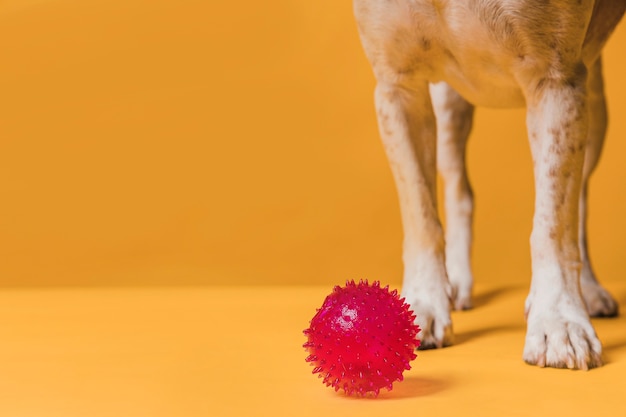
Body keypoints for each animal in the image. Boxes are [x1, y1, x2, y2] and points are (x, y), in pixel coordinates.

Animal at [354, 0, 620, 368]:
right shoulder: (398, 86)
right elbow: (421, 218)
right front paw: (421, 306)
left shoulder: (556, 81)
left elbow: (552, 224)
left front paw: (558, 320)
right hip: (447, 103)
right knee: (458, 188)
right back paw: (456, 280)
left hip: (594, 102)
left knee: (576, 200)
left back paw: (589, 290)